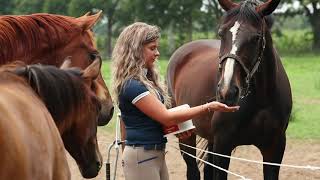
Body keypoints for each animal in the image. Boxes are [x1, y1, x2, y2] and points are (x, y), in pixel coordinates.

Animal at [168, 0, 292, 179]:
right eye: (221, 33)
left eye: (256, 38)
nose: (227, 91)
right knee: (193, 170)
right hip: (187, 135)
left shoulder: (274, 148)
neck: (262, 99)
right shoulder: (223, 145)